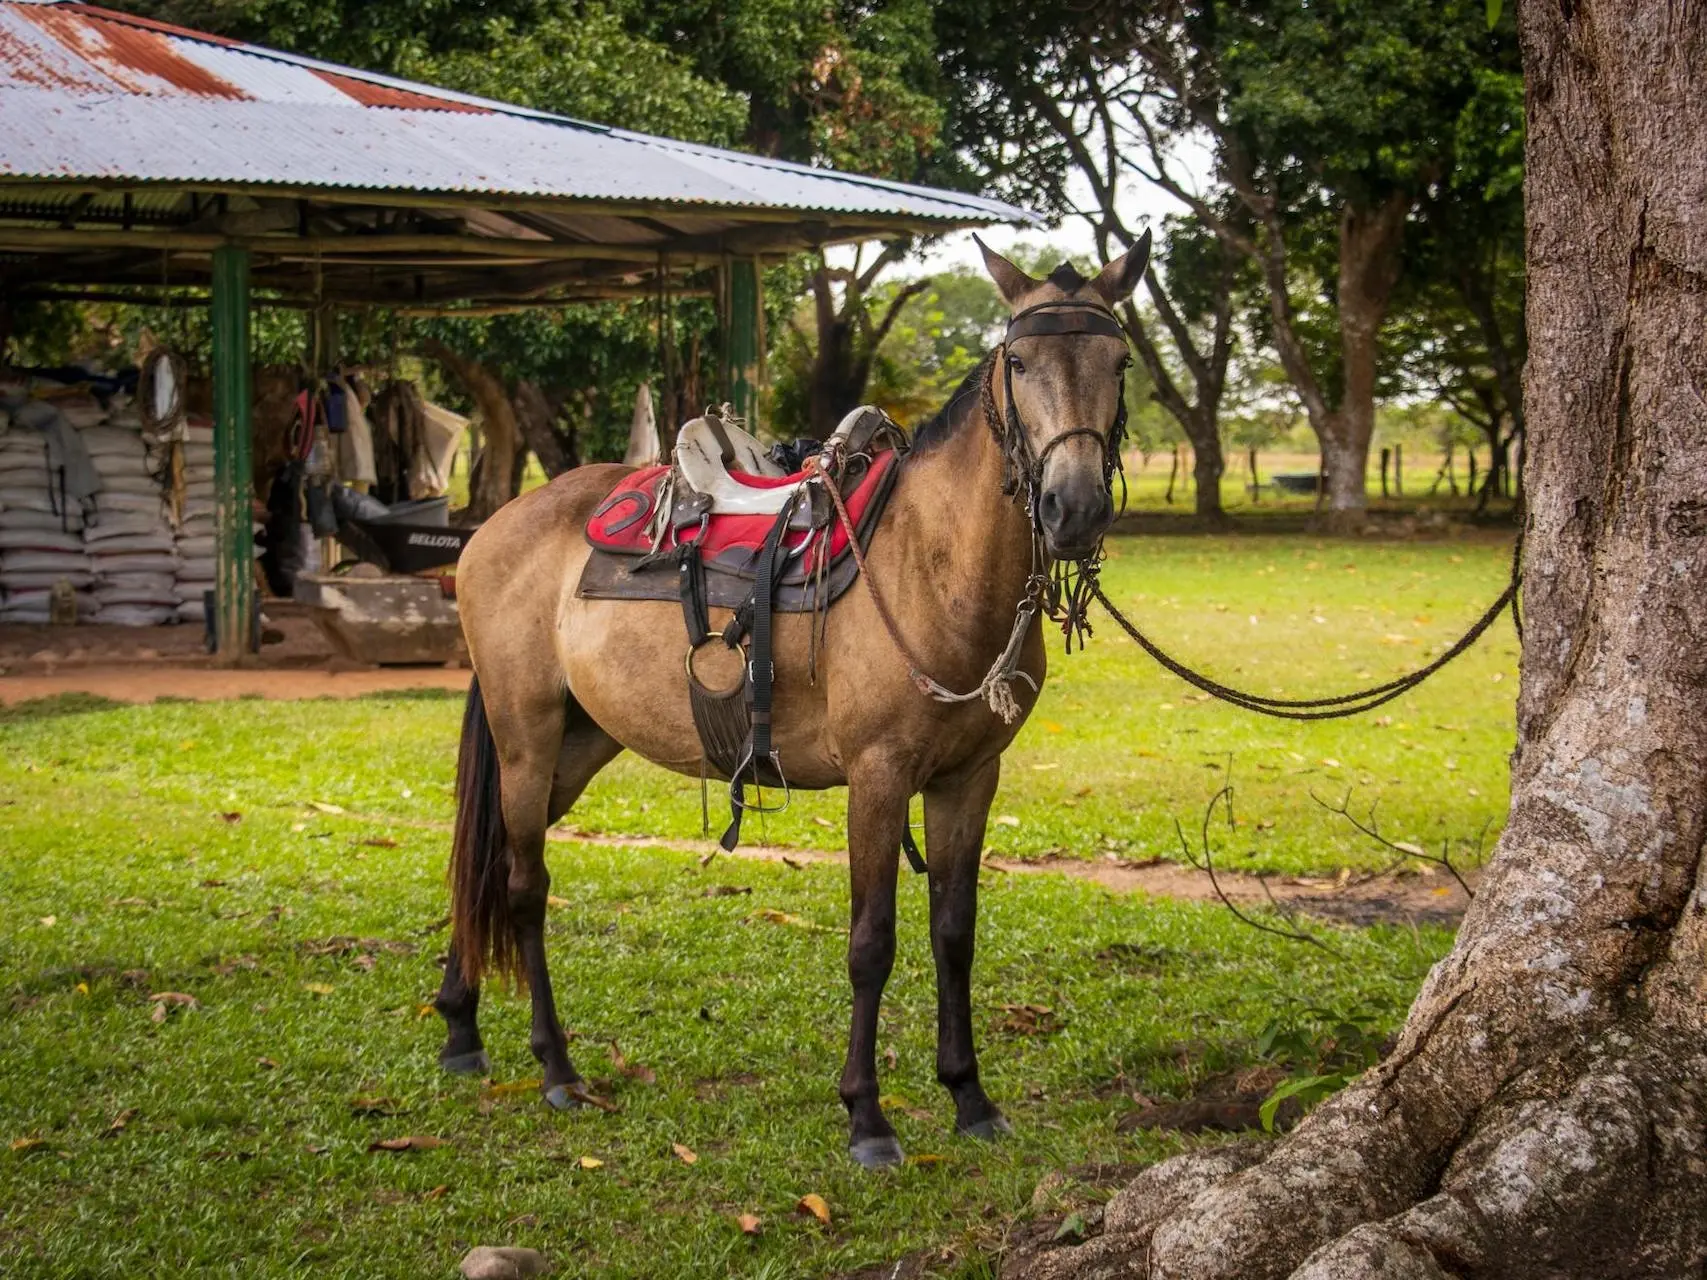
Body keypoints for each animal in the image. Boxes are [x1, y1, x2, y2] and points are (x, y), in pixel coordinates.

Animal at [440, 233, 1153, 1174]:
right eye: (1021, 361)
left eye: (1118, 361)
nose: (1072, 508)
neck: (931, 565)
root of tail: (497, 525)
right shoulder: (878, 779)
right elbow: (872, 942)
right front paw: (867, 1117)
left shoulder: (968, 778)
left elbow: (953, 933)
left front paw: (968, 1096)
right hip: (525, 738)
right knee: (522, 886)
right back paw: (556, 1068)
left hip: (576, 745)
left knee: (485, 862)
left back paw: (459, 1029)